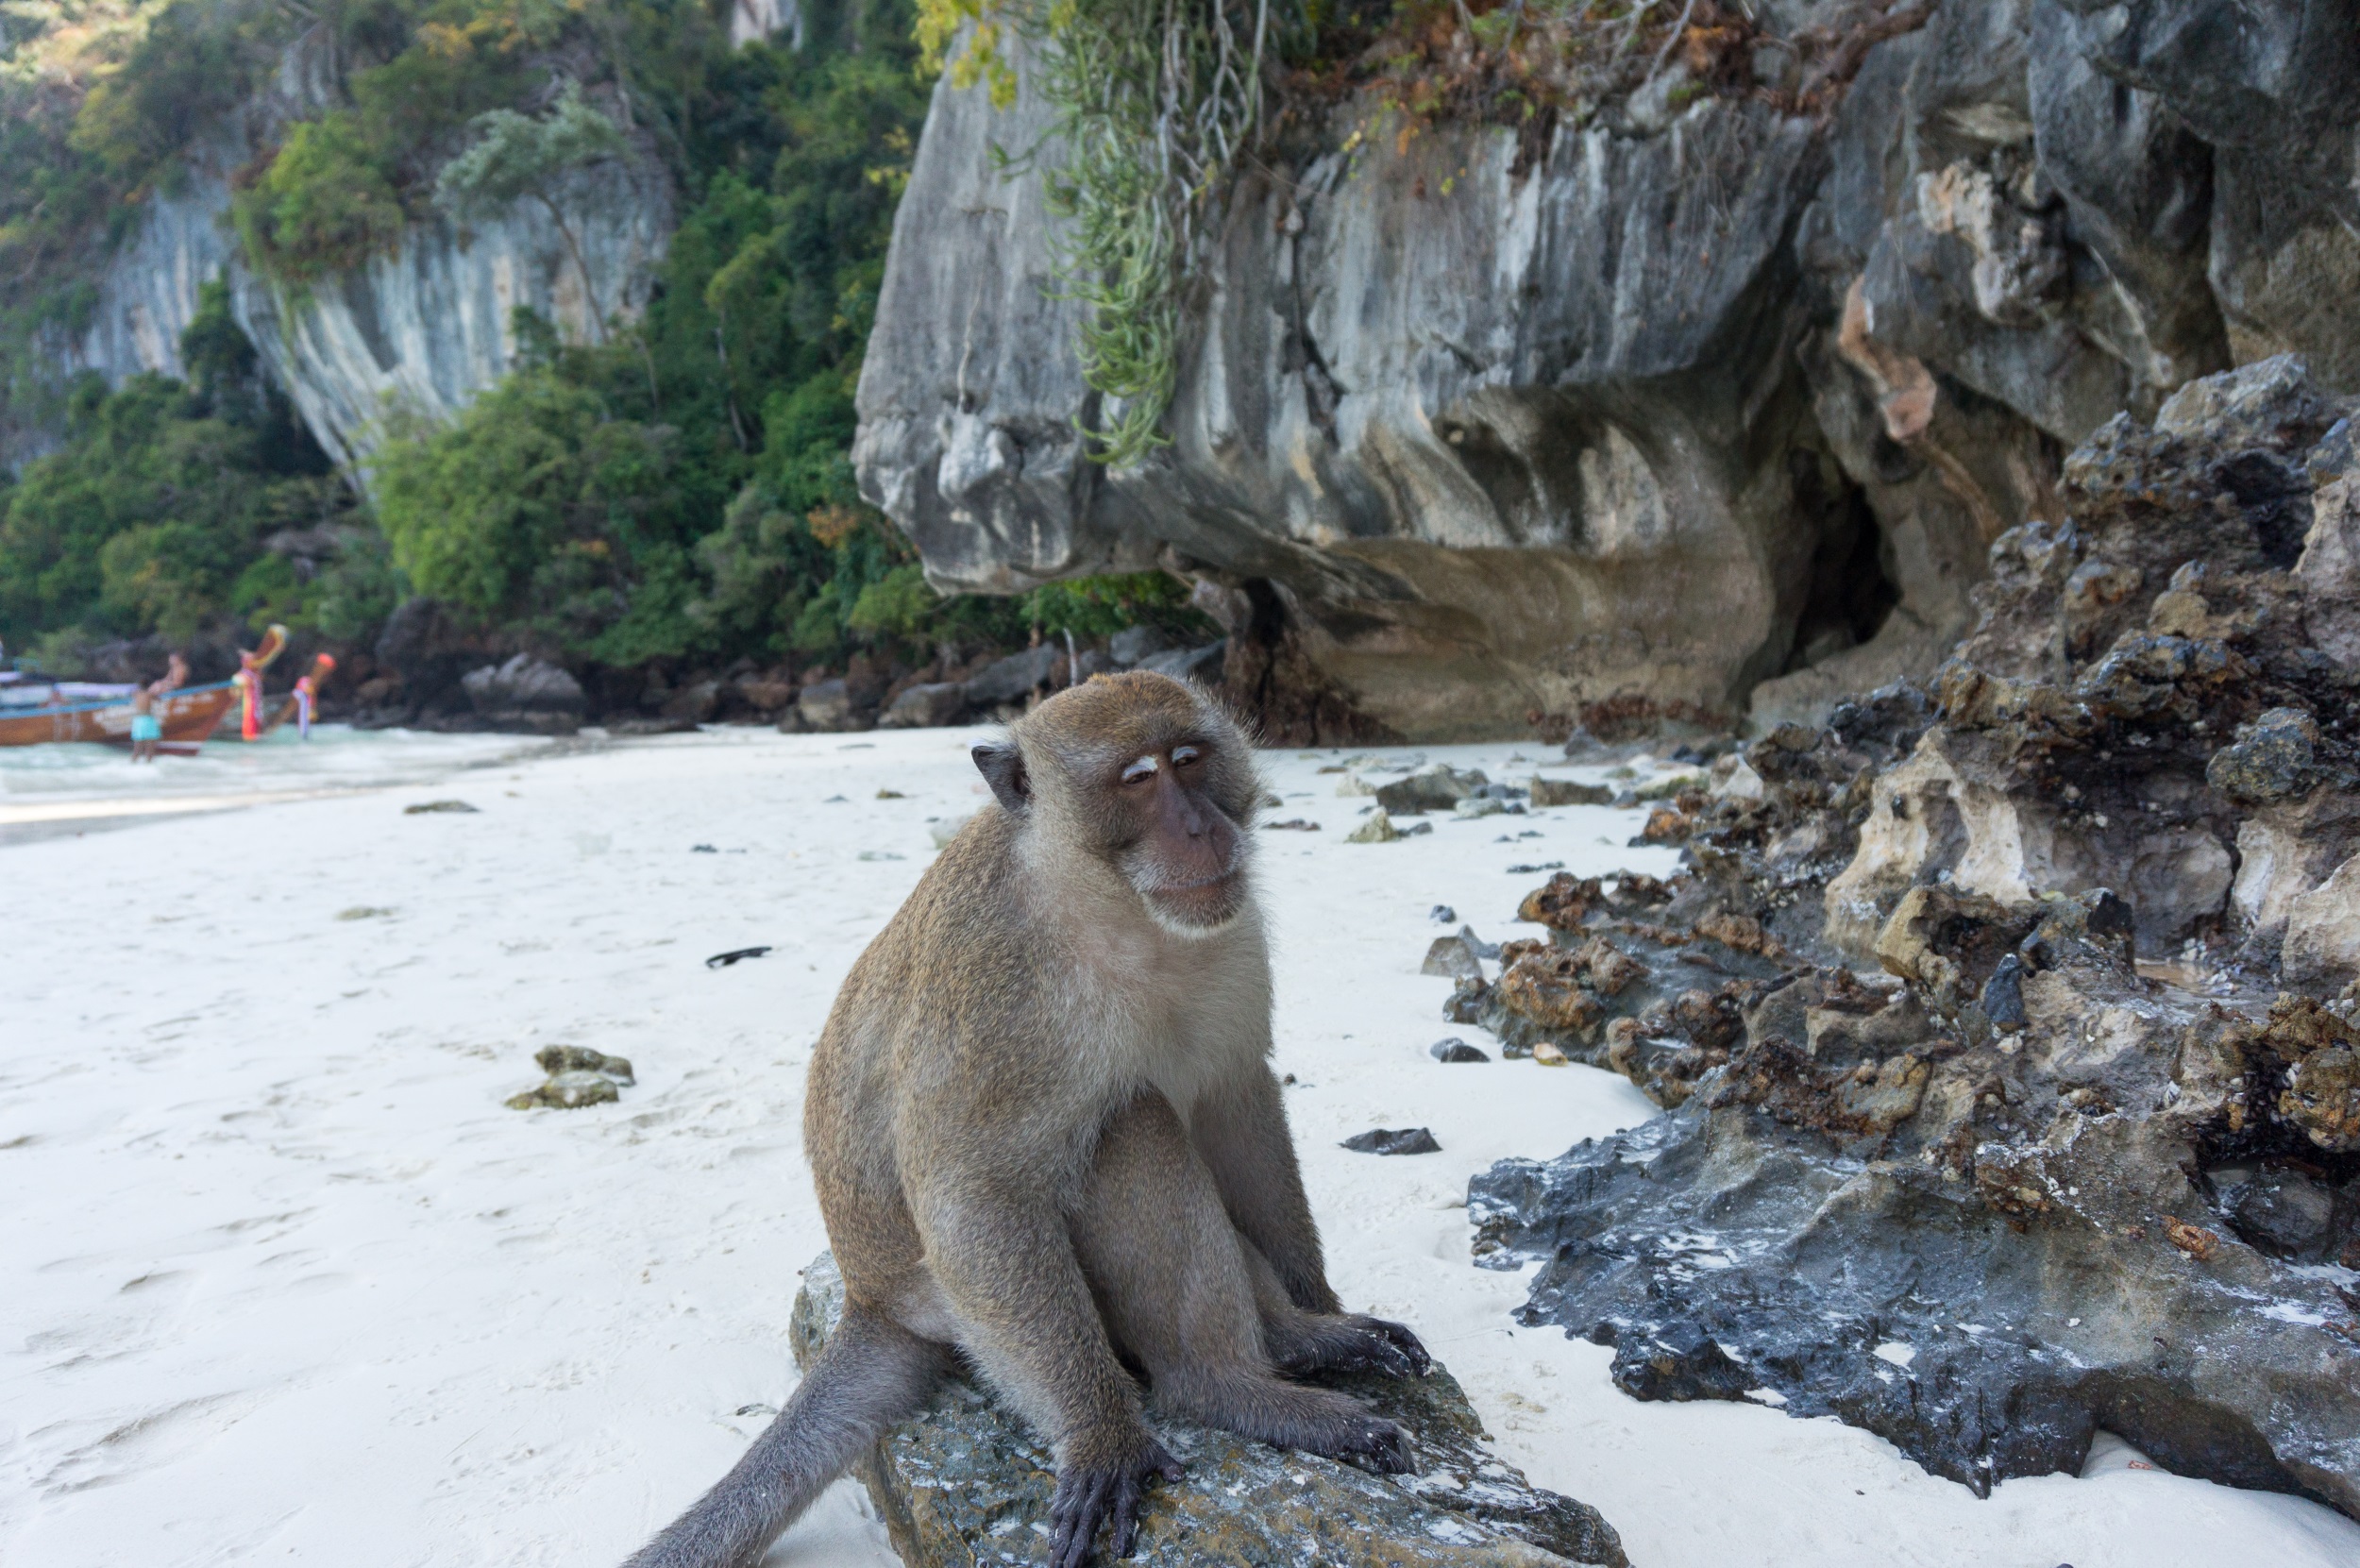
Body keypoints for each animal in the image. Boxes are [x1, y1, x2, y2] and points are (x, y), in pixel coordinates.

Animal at [620, 670, 1430, 1568]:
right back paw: (1226, 1386)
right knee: (1130, 1121)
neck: (1115, 911)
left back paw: (1292, 1340)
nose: (1200, 825)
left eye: (1189, 758)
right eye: (1137, 778)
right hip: (955, 1312)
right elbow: (974, 1196)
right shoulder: (997, 995)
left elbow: (1234, 1097)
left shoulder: (1231, 927)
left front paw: (1319, 1310)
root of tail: (869, 1297)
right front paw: (1104, 1434)